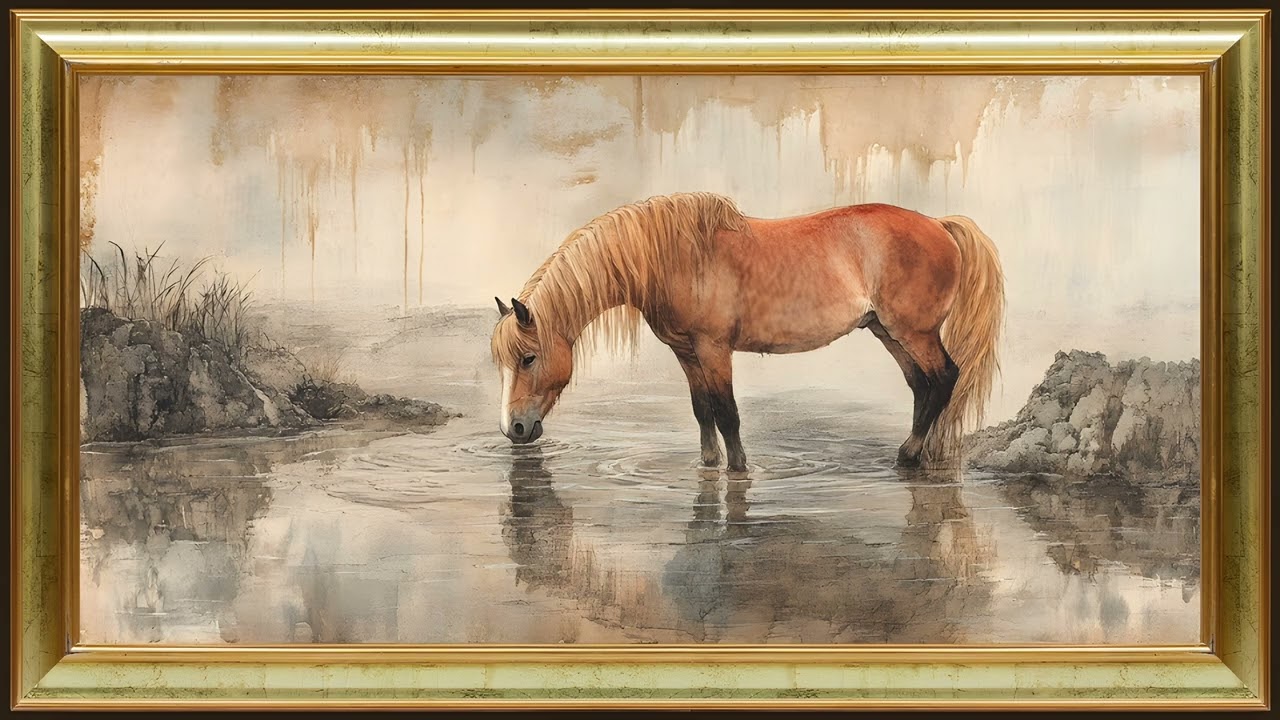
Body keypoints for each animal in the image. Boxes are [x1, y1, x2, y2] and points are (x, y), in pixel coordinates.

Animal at [491, 192, 1004, 471]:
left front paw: (739, 470)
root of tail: (939, 224)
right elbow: (703, 412)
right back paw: (913, 452)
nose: (515, 429)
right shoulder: (686, 353)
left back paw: (911, 454)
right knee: (921, 385)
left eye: (528, 358)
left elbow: (728, 414)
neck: (676, 259)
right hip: (887, 332)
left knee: (944, 378)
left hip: (915, 333)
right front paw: (708, 466)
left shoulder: (715, 350)